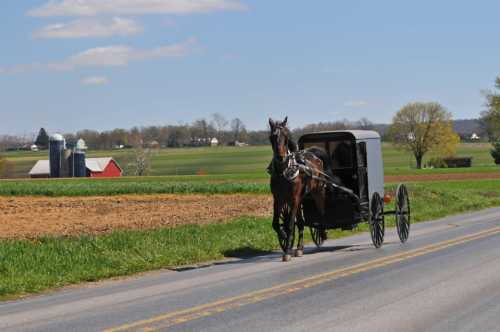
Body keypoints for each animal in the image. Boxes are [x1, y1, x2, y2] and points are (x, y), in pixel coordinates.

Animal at [268, 116, 334, 262]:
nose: (280, 157)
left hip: (317, 192)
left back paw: (322, 232)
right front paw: (283, 236)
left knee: (321, 212)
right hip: (299, 200)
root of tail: (314, 154)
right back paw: (299, 248)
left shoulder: (293, 198)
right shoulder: (278, 199)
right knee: (301, 222)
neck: (284, 172)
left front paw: (287, 251)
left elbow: (290, 225)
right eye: (272, 137)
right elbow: (276, 224)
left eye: (286, 136)